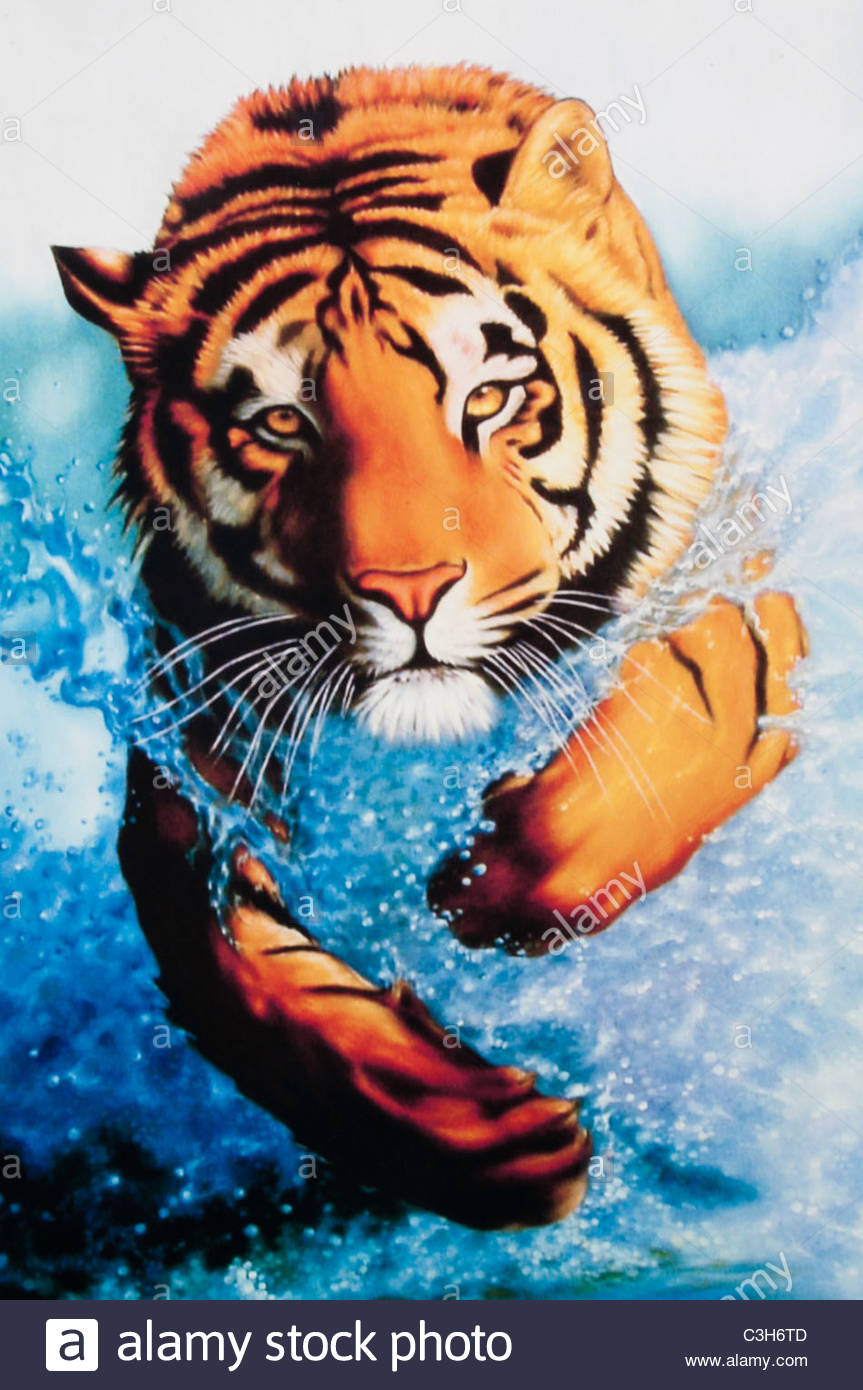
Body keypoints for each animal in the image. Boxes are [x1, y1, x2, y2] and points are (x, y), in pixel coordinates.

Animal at [52, 64, 806, 1231]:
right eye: (280, 424)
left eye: (487, 397)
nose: (406, 592)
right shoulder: (198, 733)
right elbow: (236, 968)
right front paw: (478, 1141)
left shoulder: (718, 582)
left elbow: (664, 738)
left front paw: (484, 888)